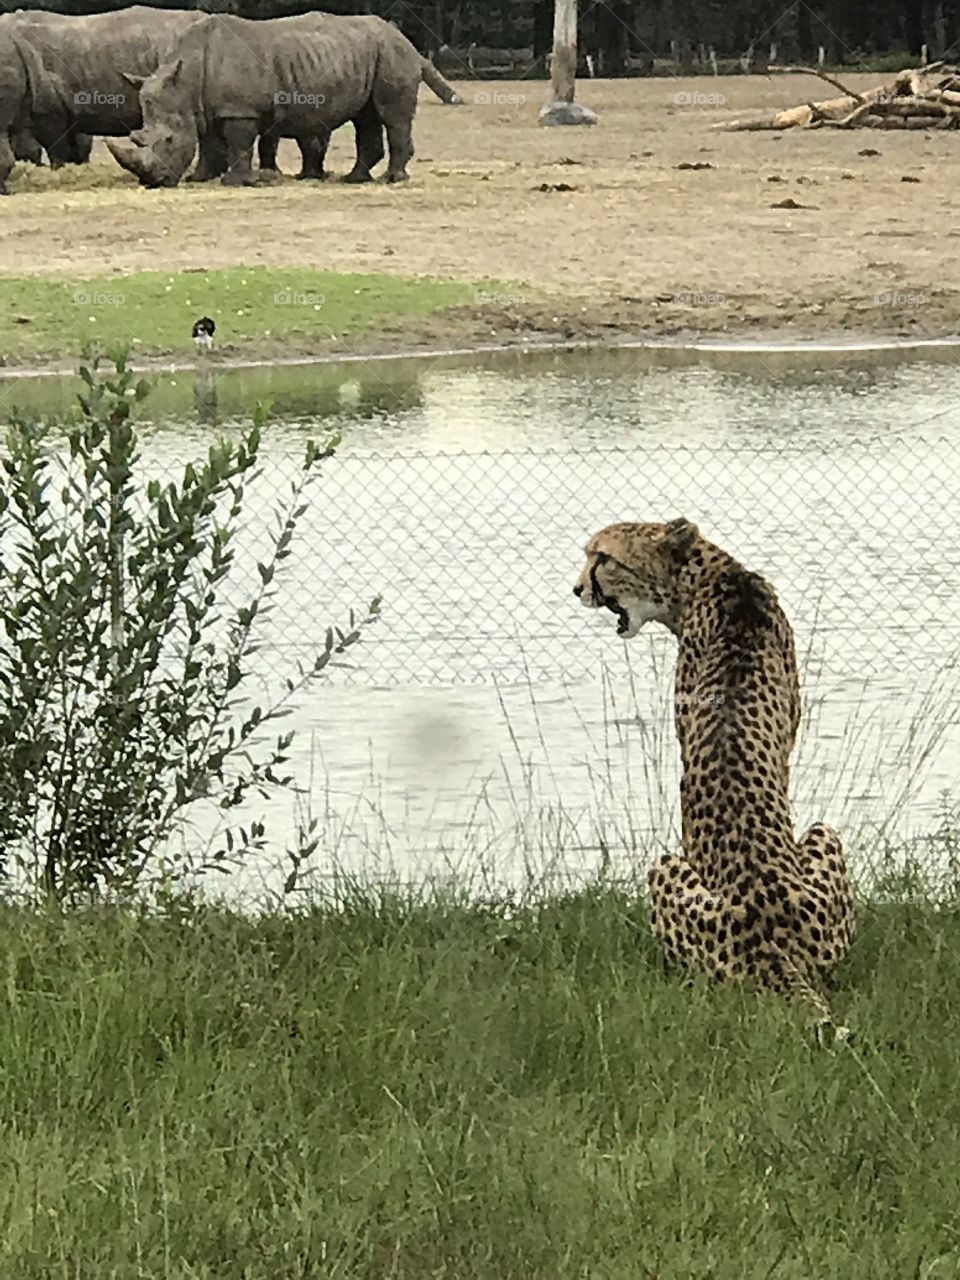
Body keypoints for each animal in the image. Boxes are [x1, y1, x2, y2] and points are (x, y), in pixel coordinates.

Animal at [573, 516, 856, 1043]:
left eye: (602, 557)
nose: (576, 588)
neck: (714, 576)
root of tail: (770, 932)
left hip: (667, 864)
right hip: (822, 839)